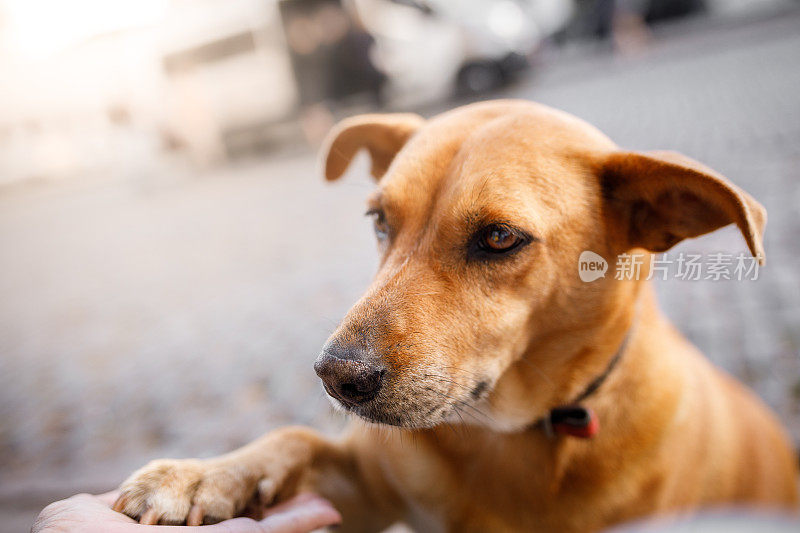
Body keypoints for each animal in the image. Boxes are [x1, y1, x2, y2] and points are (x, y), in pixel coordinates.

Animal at [115, 98, 796, 528]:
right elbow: (294, 438)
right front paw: (200, 476)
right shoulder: (361, 495)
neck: (514, 437)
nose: (335, 377)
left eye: (498, 238)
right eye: (378, 220)